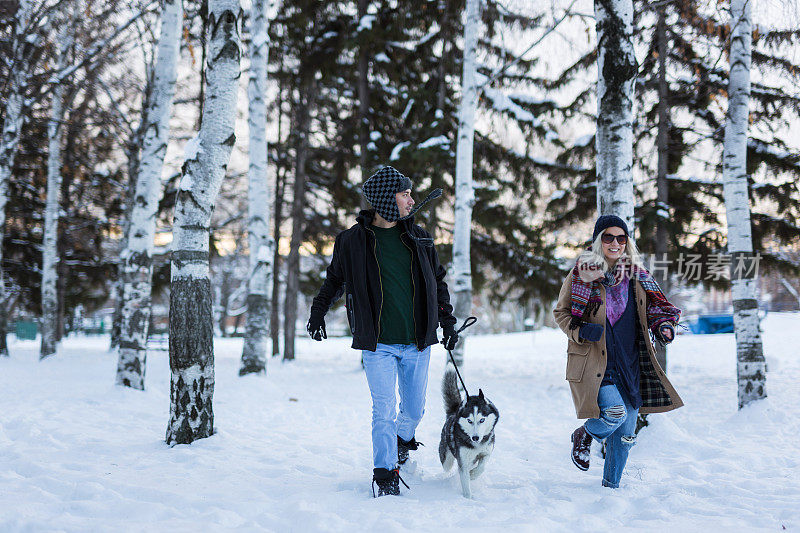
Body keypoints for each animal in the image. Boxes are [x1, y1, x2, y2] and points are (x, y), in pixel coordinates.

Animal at [440, 368, 496, 496]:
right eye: (469, 420)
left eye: (482, 420)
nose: (475, 438)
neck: (477, 445)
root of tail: (453, 412)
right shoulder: (463, 461)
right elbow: (465, 481)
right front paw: (468, 497)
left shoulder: (486, 452)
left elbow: (482, 467)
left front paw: (473, 475)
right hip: (446, 460)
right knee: (447, 465)